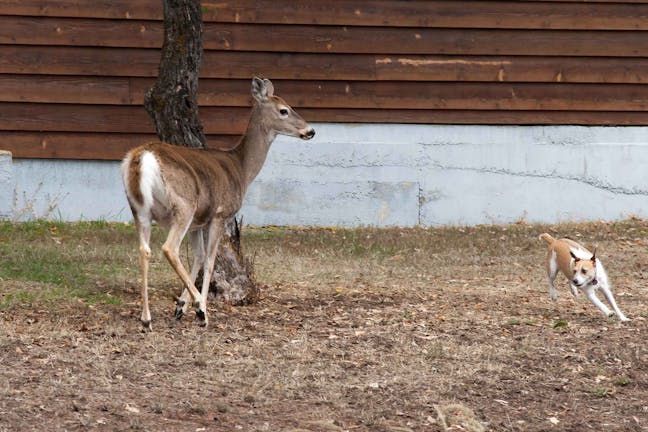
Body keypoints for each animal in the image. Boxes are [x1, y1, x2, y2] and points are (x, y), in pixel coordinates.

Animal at [122, 77, 316, 330]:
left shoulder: (199, 222)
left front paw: (180, 306)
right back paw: (201, 310)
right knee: (169, 248)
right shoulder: (219, 214)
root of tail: (144, 157)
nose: (310, 131)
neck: (241, 169)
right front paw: (198, 306)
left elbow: (199, 256)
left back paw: (146, 319)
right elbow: (210, 260)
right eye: (284, 110)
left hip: (140, 209)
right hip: (184, 205)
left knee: (144, 250)